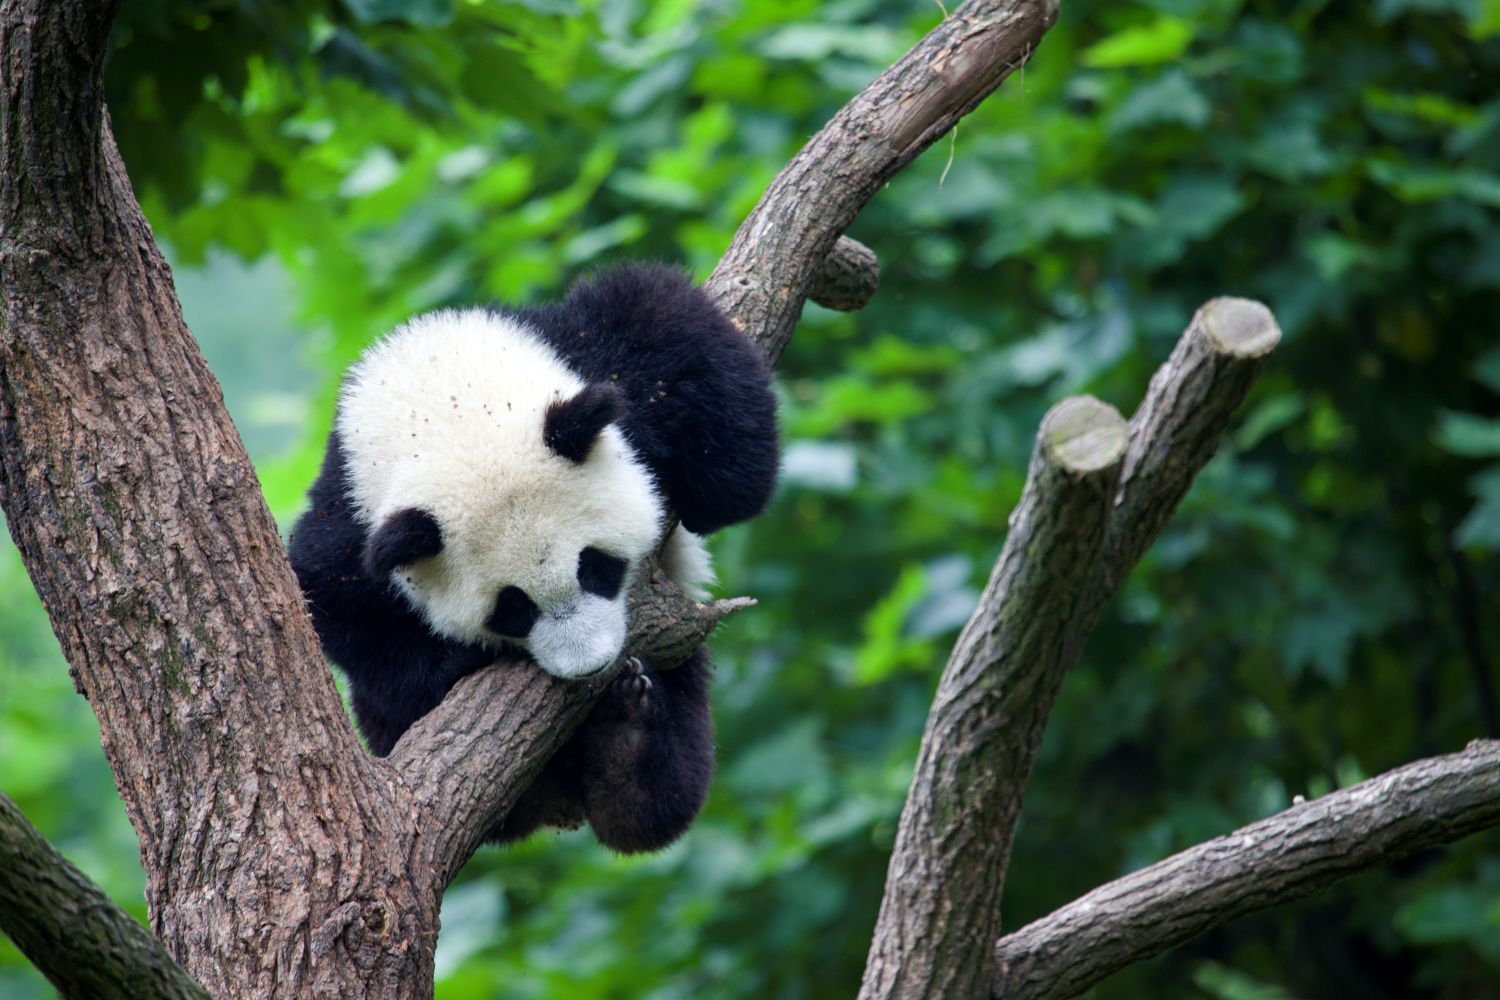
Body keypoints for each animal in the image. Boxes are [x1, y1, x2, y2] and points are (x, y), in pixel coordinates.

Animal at [287, 264, 778, 853]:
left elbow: (674, 335)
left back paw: (626, 750)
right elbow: (331, 601)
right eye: (513, 608)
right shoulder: (351, 510)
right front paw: (458, 661)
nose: (591, 664)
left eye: (595, 567)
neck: (440, 398)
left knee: (665, 792)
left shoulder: (594, 354)